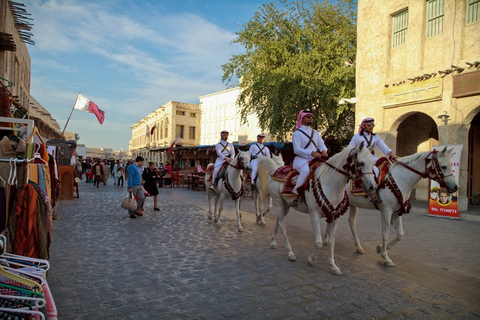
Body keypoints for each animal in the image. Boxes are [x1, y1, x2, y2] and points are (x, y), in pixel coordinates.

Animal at [266, 142, 376, 276]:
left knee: (278, 220)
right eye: (361, 163)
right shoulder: (314, 215)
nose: (372, 187)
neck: (331, 185)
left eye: (373, 163)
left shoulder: (335, 217)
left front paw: (333, 266)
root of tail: (275, 170)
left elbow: (332, 242)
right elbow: (318, 242)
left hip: (285, 205)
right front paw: (311, 260)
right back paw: (290, 252)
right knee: (282, 224)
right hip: (278, 202)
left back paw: (273, 242)